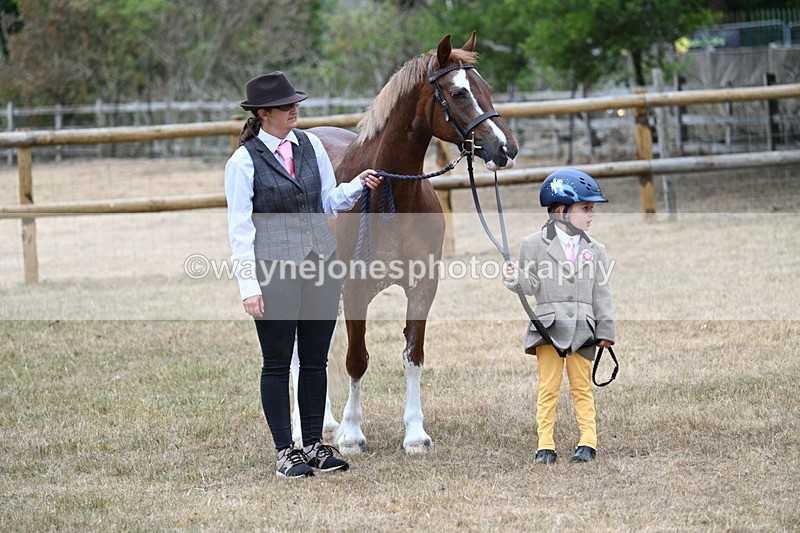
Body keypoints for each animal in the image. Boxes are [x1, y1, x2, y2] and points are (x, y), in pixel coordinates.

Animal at [310, 32, 519, 454]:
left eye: (487, 89)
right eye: (458, 93)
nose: (505, 149)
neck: (391, 194)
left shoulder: (423, 288)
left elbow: (413, 356)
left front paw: (415, 435)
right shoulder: (355, 290)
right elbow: (357, 359)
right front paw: (352, 435)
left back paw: (326, 422)